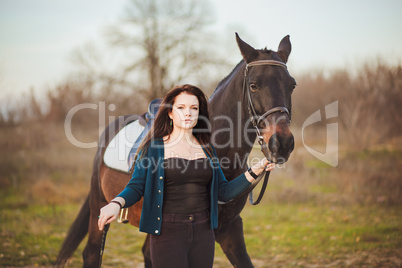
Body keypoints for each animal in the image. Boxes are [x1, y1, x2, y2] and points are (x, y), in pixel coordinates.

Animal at [56, 34, 296, 268]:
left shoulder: (230, 228)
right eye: (254, 85)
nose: (282, 143)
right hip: (99, 205)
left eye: (292, 85)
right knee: (92, 253)